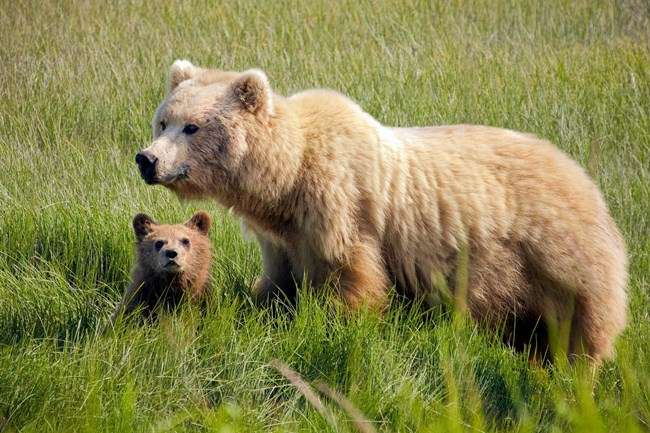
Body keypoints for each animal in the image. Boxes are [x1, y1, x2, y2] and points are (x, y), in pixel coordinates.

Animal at [134, 59, 627, 362]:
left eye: (192, 127)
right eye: (163, 120)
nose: (147, 159)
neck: (287, 177)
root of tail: (581, 174)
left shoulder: (340, 205)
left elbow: (352, 273)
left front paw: (342, 324)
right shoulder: (283, 234)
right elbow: (279, 280)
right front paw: (266, 306)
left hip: (553, 251)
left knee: (586, 318)